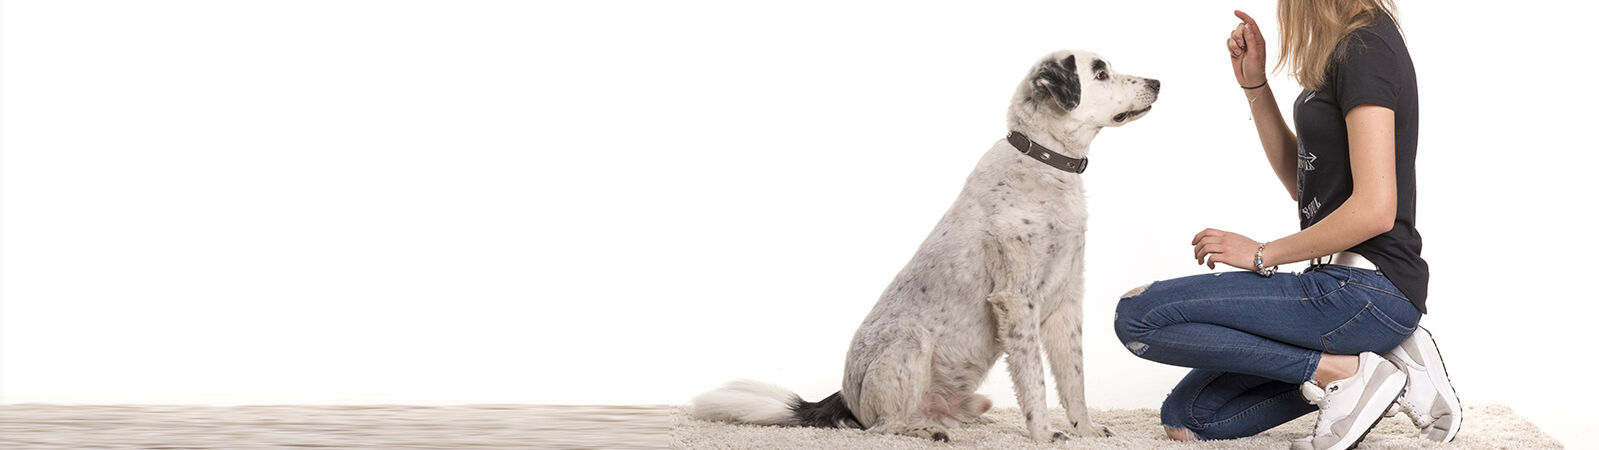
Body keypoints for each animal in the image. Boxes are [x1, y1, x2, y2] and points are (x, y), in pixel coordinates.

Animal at [693, 49, 1157, 441]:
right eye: (1100, 73)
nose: (1156, 81)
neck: (1042, 160)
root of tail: (844, 398)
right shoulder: (1016, 300)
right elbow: (1035, 382)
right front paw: (1044, 434)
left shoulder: (1065, 302)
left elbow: (1073, 380)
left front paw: (1086, 430)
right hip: (909, 342)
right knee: (883, 426)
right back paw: (927, 431)